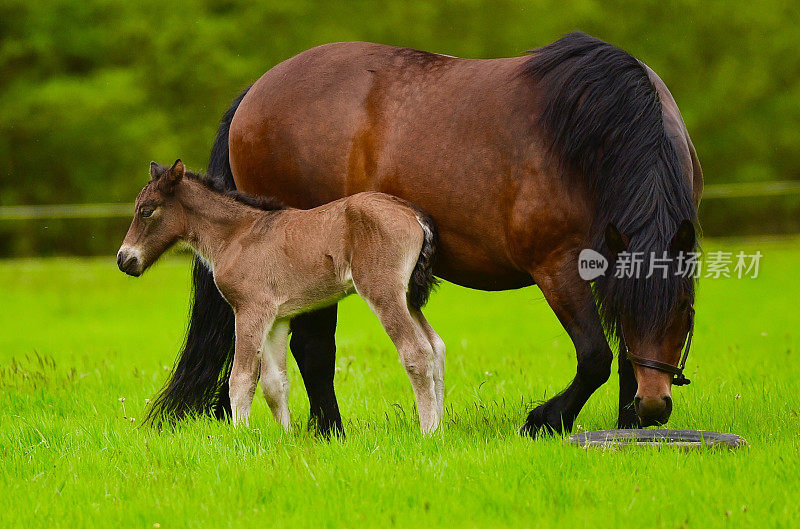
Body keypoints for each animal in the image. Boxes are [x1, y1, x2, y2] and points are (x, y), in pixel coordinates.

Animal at [116, 161, 446, 434]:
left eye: (146, 210)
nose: (124, 259)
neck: (237, 235)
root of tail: (413, 213)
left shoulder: (250, 310)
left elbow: (242, 379)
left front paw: (240, 437)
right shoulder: (277, 318)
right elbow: (275, 384)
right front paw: (285, 438)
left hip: (383, 291)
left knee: (416, 352)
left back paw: (428, 432)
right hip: (407, 296)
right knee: (435, 346)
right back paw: (441, 427)